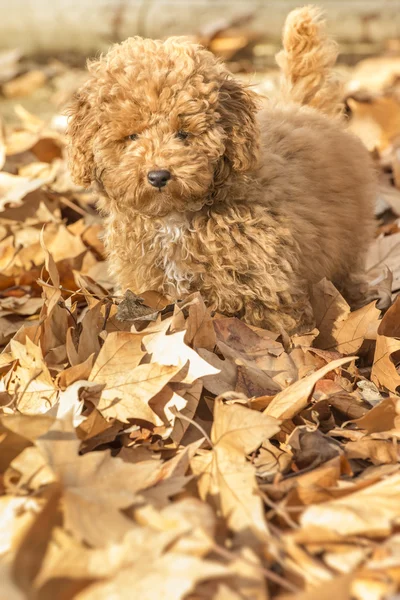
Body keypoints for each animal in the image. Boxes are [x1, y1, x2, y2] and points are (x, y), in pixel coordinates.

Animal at [67, 5, 376, 332]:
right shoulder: (147, 285)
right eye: (132, 136)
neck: (175, 219)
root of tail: (305, 107)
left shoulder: (263, 287)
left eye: (183, 133)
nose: (158, 176)